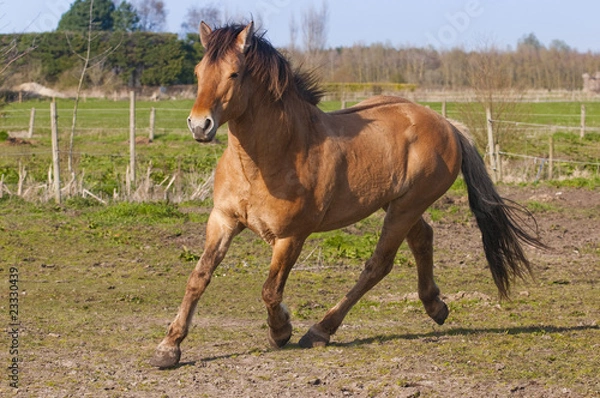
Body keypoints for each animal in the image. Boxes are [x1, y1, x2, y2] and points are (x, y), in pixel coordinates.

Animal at [149, 22, 544, 370]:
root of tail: (446, 124)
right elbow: (199, 277)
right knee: (423, 239)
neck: (267, 158)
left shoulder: (291, 236)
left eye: (234, 74)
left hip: (404, 208)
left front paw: (281, 331)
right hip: (397, 204)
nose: (200, 125)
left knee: (378, 265)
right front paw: (169, 348)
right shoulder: (223, 220)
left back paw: (320, 331)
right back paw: (436, 307)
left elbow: (270, 289)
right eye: (198, 72)